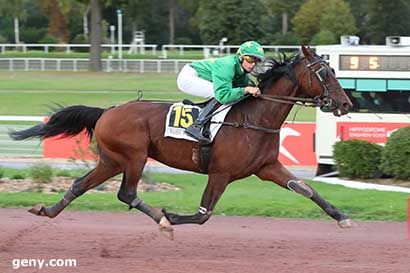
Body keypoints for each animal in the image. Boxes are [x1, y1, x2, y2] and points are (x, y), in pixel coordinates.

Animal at [11, 45, 354, 235]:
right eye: (322, 72)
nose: (345, 103)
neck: (255, 118)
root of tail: (107, 111)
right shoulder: (221, 172)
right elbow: (204, 214)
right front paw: (172, 216)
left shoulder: (266, 167)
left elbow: (306, 189)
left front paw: (342, 217)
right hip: (134, 156)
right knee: (126, 193)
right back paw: (161, 220)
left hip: (112, 160)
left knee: (80, 184)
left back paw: (47, 211)